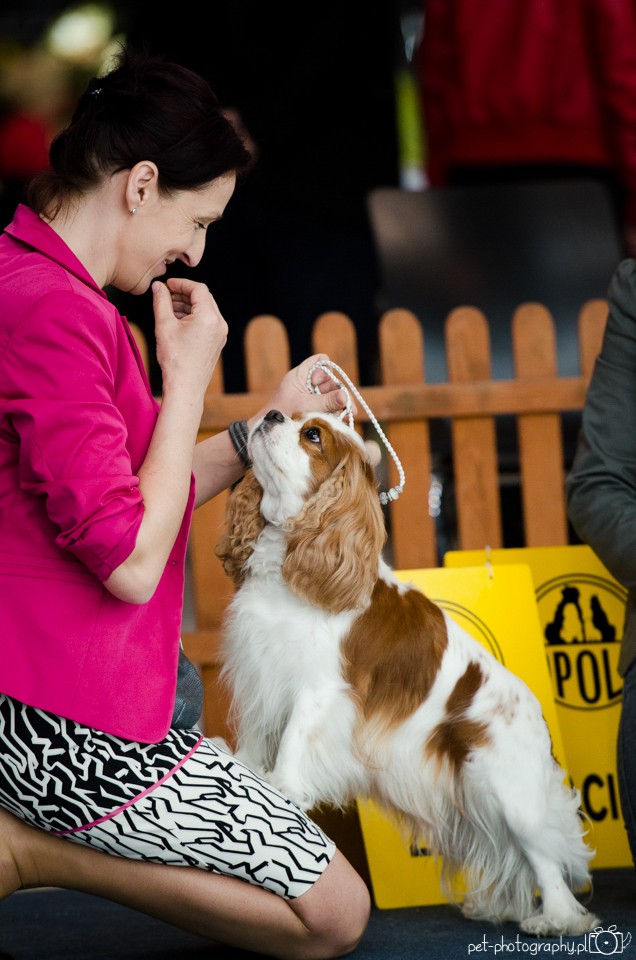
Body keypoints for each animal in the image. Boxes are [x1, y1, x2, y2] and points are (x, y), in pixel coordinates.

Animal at [216, 408, 599, 937]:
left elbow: (294, 739)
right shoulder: (261, 673)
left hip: (510, 788)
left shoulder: (320, 692)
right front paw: (247, 771)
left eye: (313, 435)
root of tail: (535, 717)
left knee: (543, 859)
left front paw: (282, 787)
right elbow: (257, 735)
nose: (270, 413)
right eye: (289, 416)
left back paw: (556, 919)